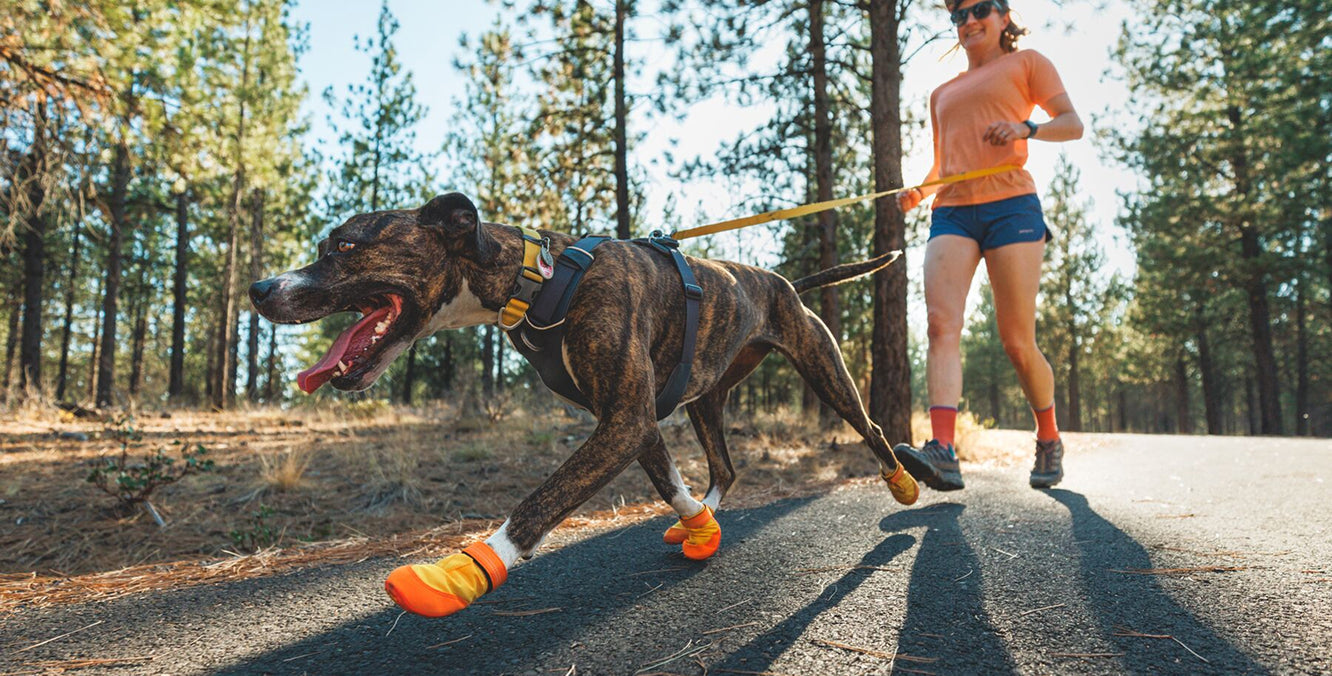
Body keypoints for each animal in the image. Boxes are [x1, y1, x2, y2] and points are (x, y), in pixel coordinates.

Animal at [247, 194, 916, 580]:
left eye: (344, 246)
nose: (258, 289)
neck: (537, 280)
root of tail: (784, 283)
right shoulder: (633, 420)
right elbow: (669, 483)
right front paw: (697, 524)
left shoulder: (624, 420)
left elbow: (539, 502)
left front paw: (468, 570)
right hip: (705, 398)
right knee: (725, 467)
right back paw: (711, 509)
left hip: (824, 369)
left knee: (873, 427)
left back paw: (904, 481)